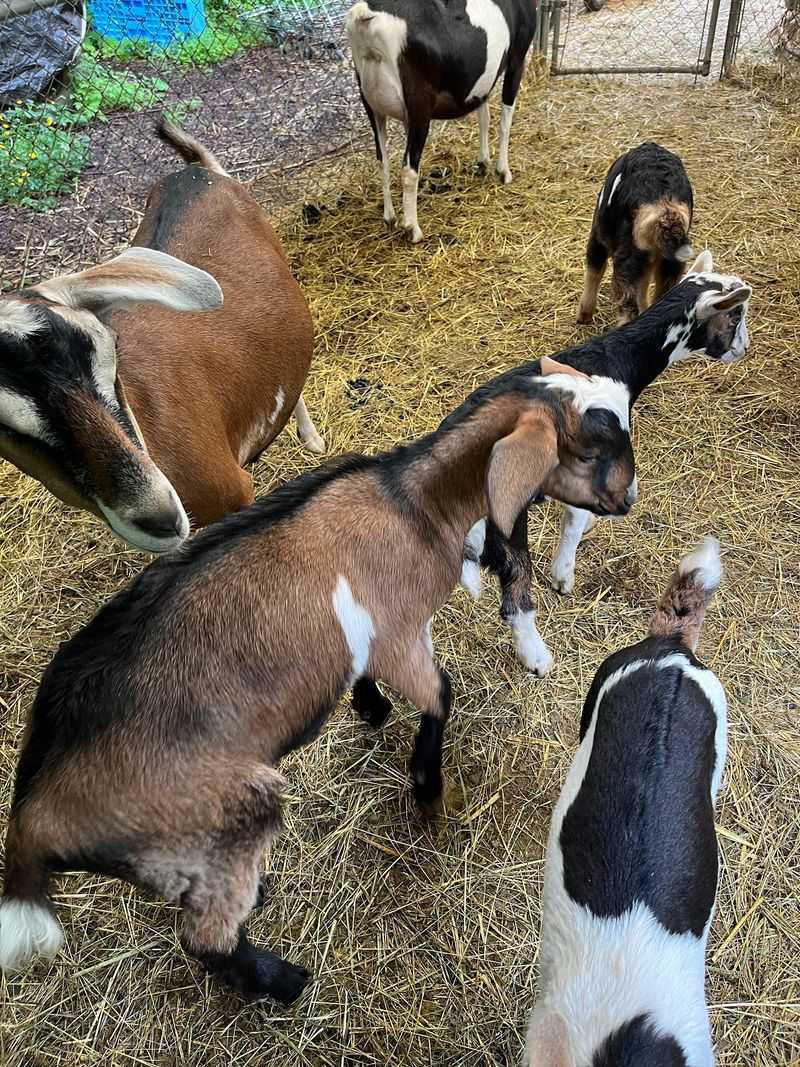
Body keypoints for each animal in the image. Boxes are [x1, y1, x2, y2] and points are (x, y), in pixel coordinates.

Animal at [0, 119, 324, 555]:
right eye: (7, 430)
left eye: (111, 349)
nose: (161, 517)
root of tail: (195, 170)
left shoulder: (237, 493)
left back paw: (311, 438)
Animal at [0, 359, 635, 1005]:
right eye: (589, 450)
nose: (628, 499)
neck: (415, 503)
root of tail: (29, 817)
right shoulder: (398, 633)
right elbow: (440, 693)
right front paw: (428, 788)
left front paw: (372, 709)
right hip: (223, 812)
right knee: (205, 939)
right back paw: (283, 982)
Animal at [346, 0, 537, 242]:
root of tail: (366, 16)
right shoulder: (517, 57)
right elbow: (505, 121)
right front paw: (503, 172)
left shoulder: (481, 83)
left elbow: (483, 117)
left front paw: (483, 162)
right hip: (419, 104)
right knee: (408, 169)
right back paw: (413, 229)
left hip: (370, 103)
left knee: (383, 160)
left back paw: (390, 218)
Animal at [464, 250, 750, 677]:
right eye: (734, 316)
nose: (743, 349)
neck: (614, 361)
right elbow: (573, 523)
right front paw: (563, 576)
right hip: (506, 520)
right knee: (516, 589)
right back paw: (536, 657)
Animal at [578, 141, 694, 326]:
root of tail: (664, 208)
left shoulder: (598, 235)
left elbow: (594, 270)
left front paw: (584, 317)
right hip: (669, 264)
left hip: (627, 258)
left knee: (629, 306)